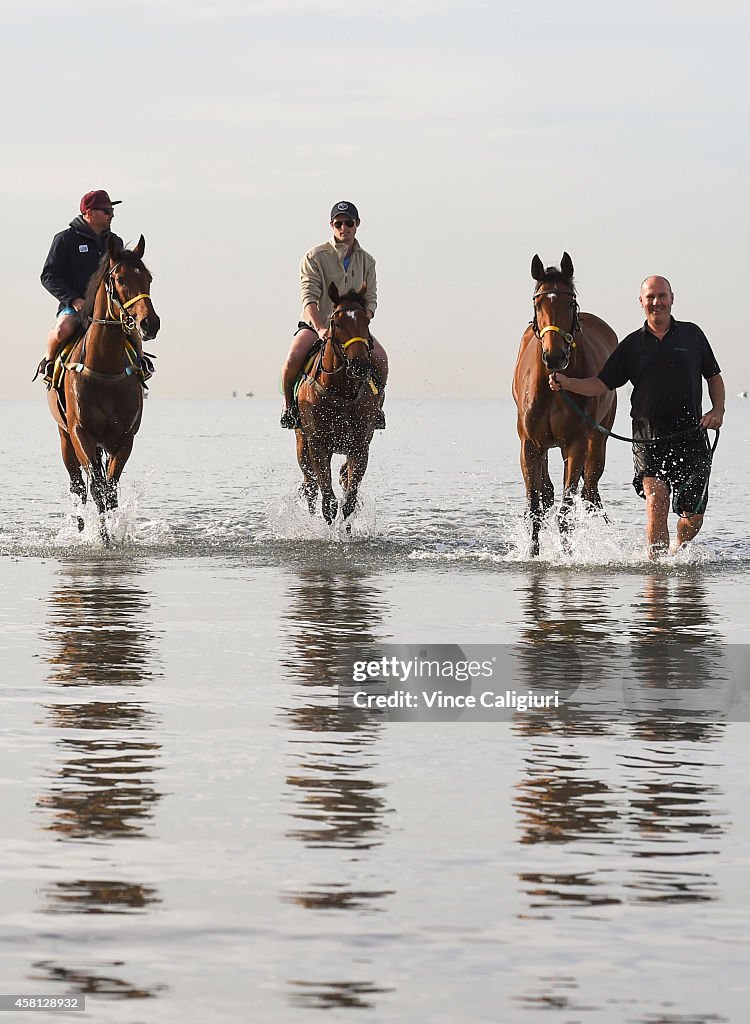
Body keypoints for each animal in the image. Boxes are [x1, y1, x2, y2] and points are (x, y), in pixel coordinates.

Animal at [46, 234, 159, 544]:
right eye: (119, 278)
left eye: (148, 278)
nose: (150, 323)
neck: (104, 369)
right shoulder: (80, 433)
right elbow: (96, 489)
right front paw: (102, 537)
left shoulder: (124, 437)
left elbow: (110, 490)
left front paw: (113, 534)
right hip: (65, 437)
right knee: (77, 487)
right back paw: (81, 528)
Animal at [295, 284, 381, 524]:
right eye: (336, 322)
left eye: (366, 321)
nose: (360, 365)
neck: (341, 392)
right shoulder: (318, 445)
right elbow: (329, 503)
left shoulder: (360, 447)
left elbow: (349, 501)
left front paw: (347, 529)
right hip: (302, 443)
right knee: (310, 486)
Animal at [512, 252, 618, 557]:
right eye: (538, 303)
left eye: (570, 303)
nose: (555, 356)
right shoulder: (530, 446)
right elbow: (535, 507)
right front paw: (533, 554)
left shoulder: (576, 445)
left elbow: (566, 512)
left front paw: (568, 556)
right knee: (547, 494)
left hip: (597, 441)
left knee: (589, 490)